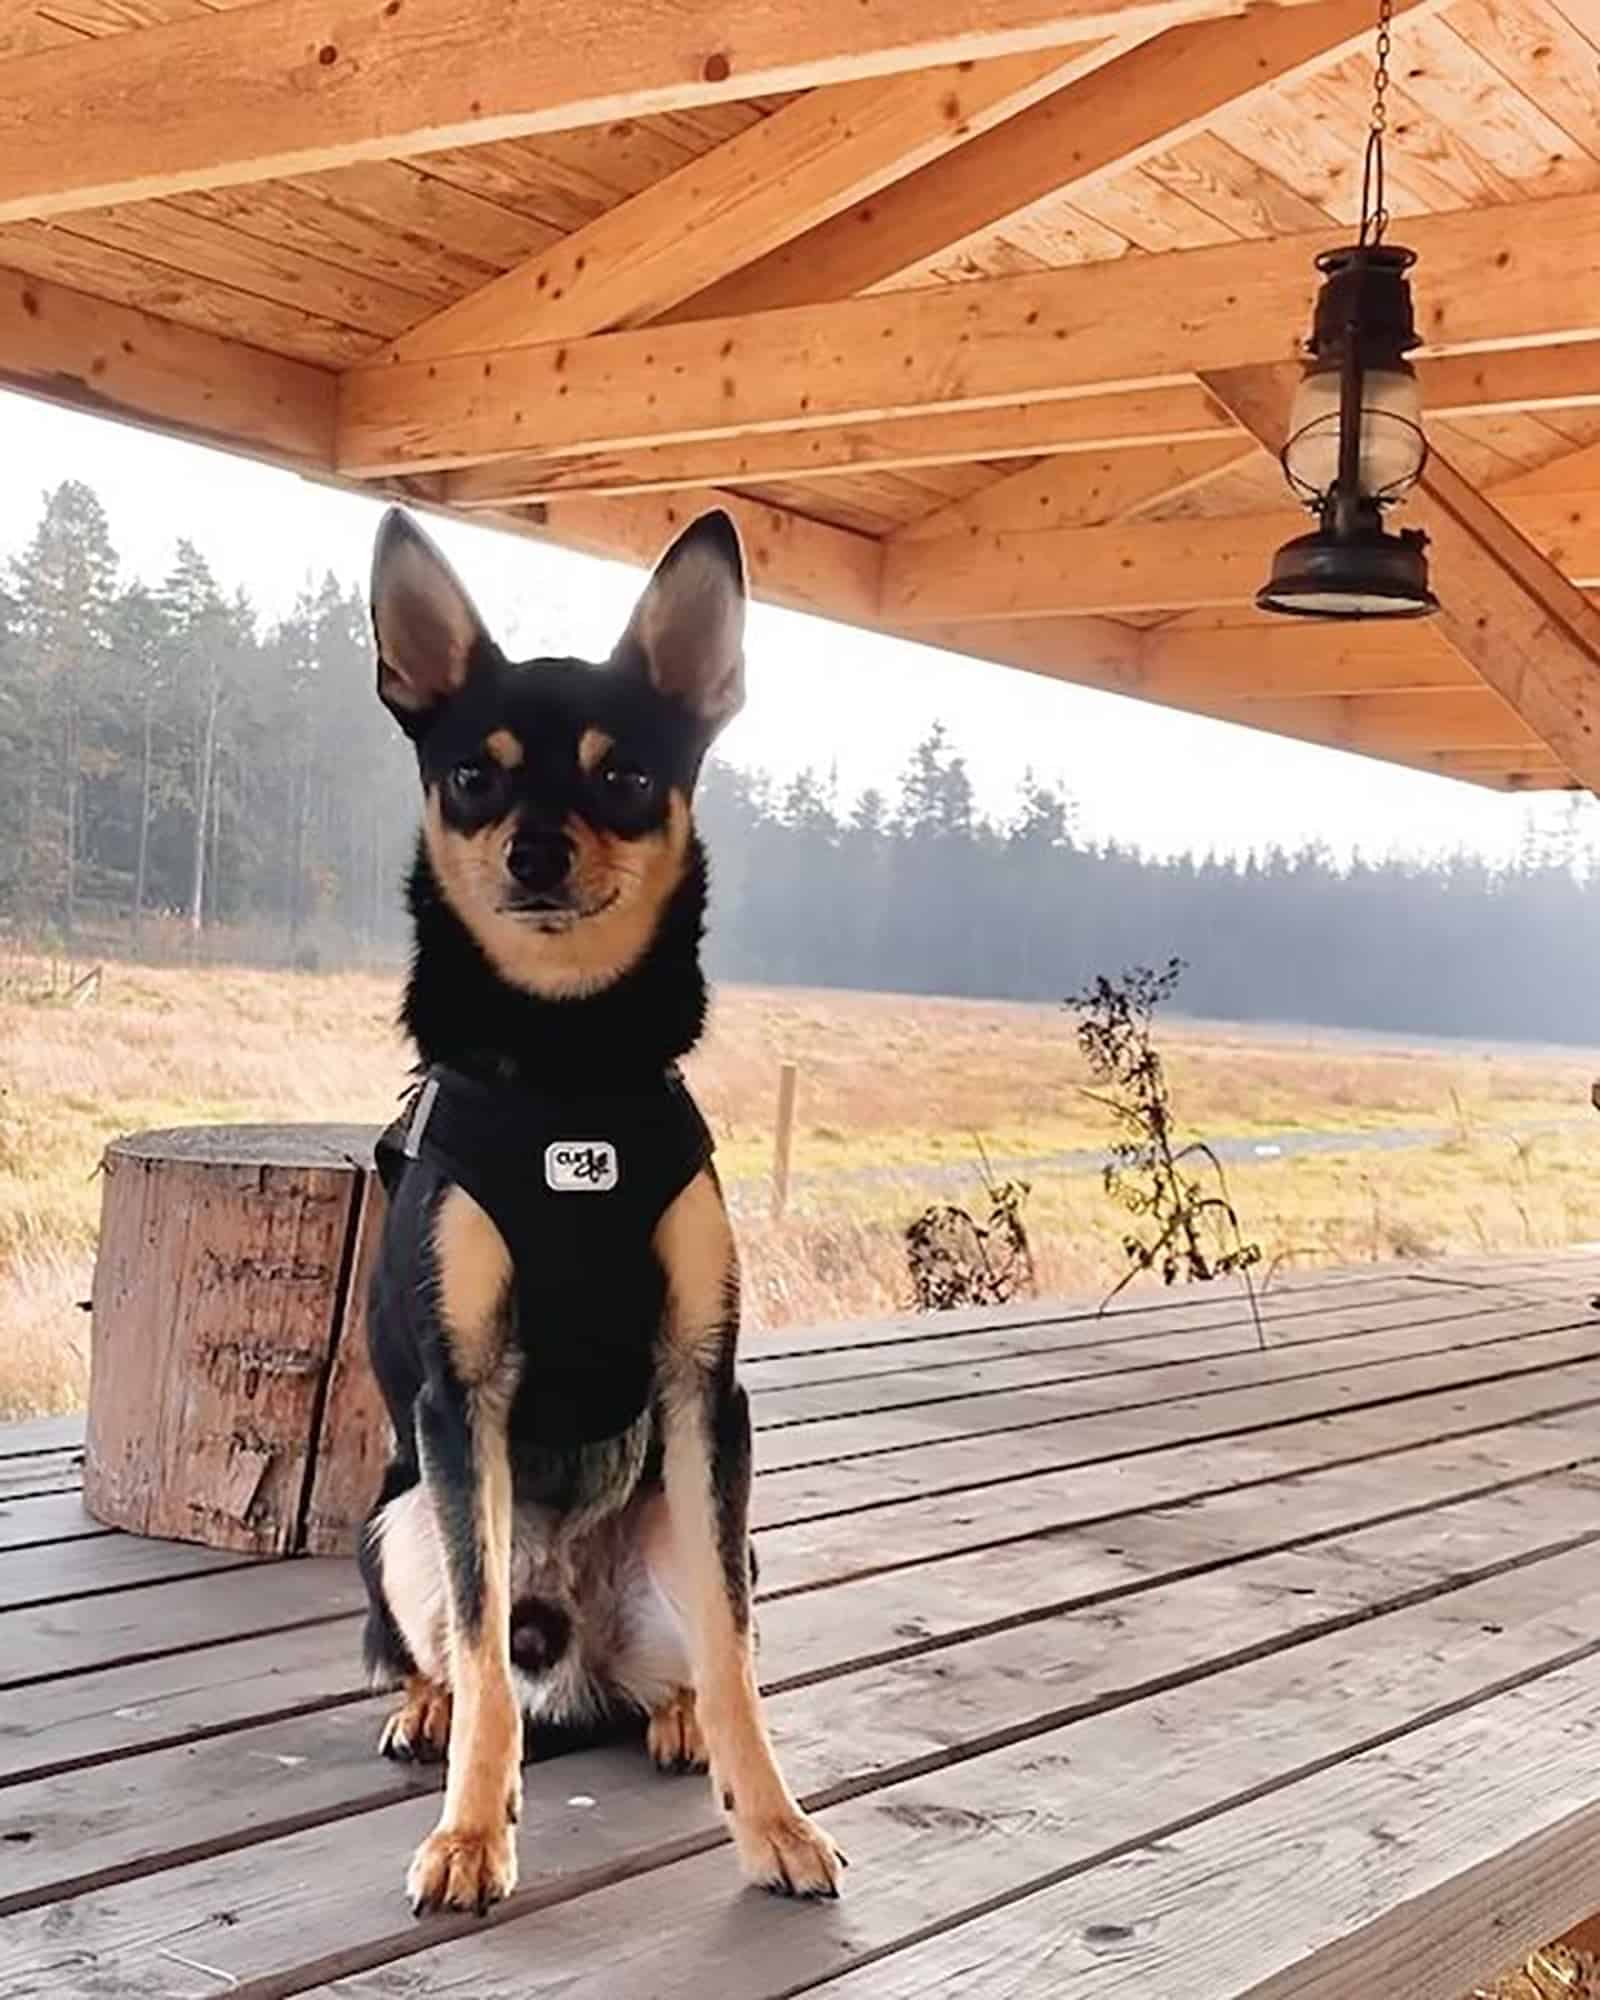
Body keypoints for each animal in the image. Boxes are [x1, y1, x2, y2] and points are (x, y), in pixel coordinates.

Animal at [356, 508, 844, 1912]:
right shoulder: (459, 1400)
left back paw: (672, 1715)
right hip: (396, 1516)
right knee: (462, 1653)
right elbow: (476, 1656)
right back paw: (426, 1707)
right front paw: (472, 1831)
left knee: (686, 1653)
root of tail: (568, 1643)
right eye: (474, 776)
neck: (568, 1067)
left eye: (623, 775)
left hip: (701, 1525)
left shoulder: (705, 1391)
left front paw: (772, 1816)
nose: (533, 850)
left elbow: (739, 1658)